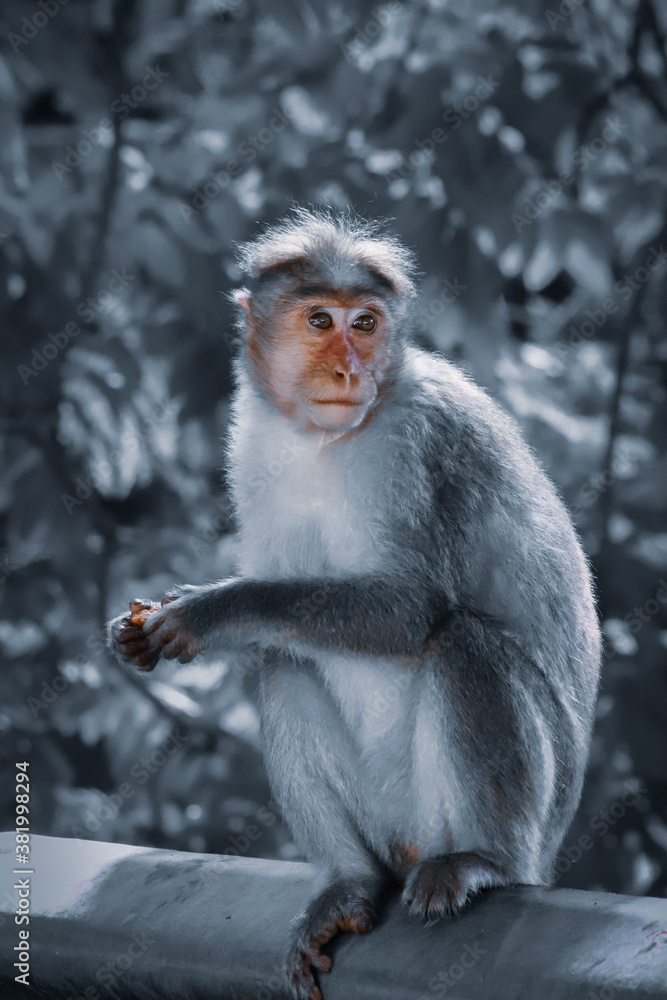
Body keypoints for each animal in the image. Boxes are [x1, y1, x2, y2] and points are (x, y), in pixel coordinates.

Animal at [107, 208, 601, 1000]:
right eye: (320, 320)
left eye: (365, 324)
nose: (350, 369)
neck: (323, 439)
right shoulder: (252, 444)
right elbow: (277, 625)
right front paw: (153, 627)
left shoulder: (417, 439)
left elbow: (410, 608)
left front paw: (209, 610)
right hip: (385, 819)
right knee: (286, 662)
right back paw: (348, 882)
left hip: (500, 825)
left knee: (461, 644)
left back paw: (482, 861)